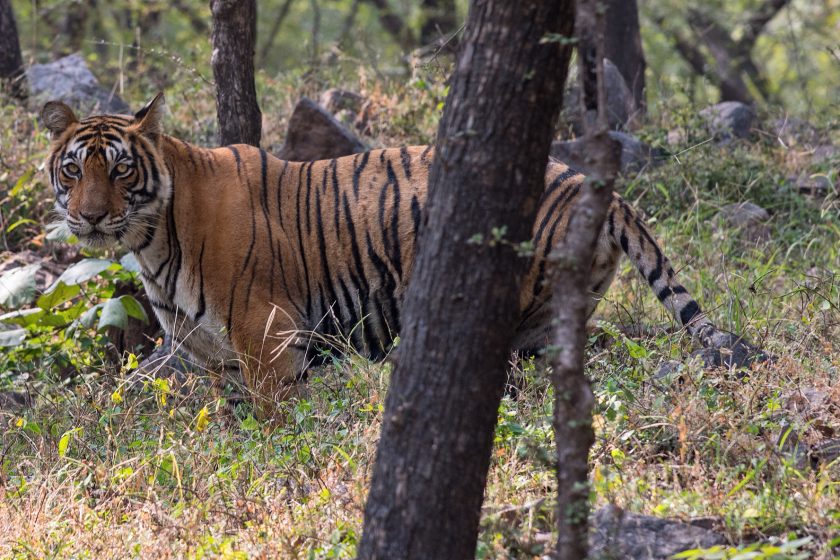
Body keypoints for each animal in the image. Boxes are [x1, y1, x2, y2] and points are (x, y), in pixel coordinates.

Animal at [39, 92, 756, 416]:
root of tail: (588, 182)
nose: (90, 215)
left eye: (121, 170)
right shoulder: (217, 357)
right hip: (549, 321)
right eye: (73, 169)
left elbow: (276, 426)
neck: (151, 240)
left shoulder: (269, 337)